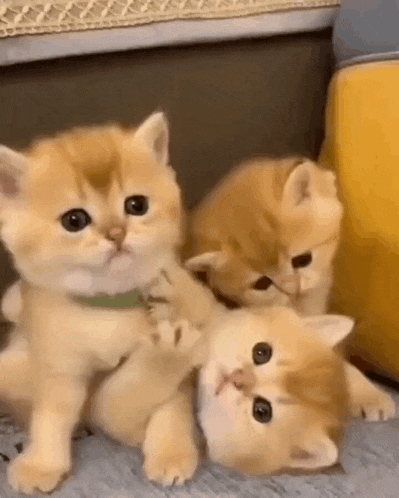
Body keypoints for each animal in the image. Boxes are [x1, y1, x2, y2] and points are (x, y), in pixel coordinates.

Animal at [0, 114, 193, 494]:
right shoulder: (59, 365)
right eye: (74, 220)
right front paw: (41, 464)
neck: (107, 309)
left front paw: (171, 451)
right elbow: (50, 415)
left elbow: (171, 405)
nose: (117, 234)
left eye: (136, 205)